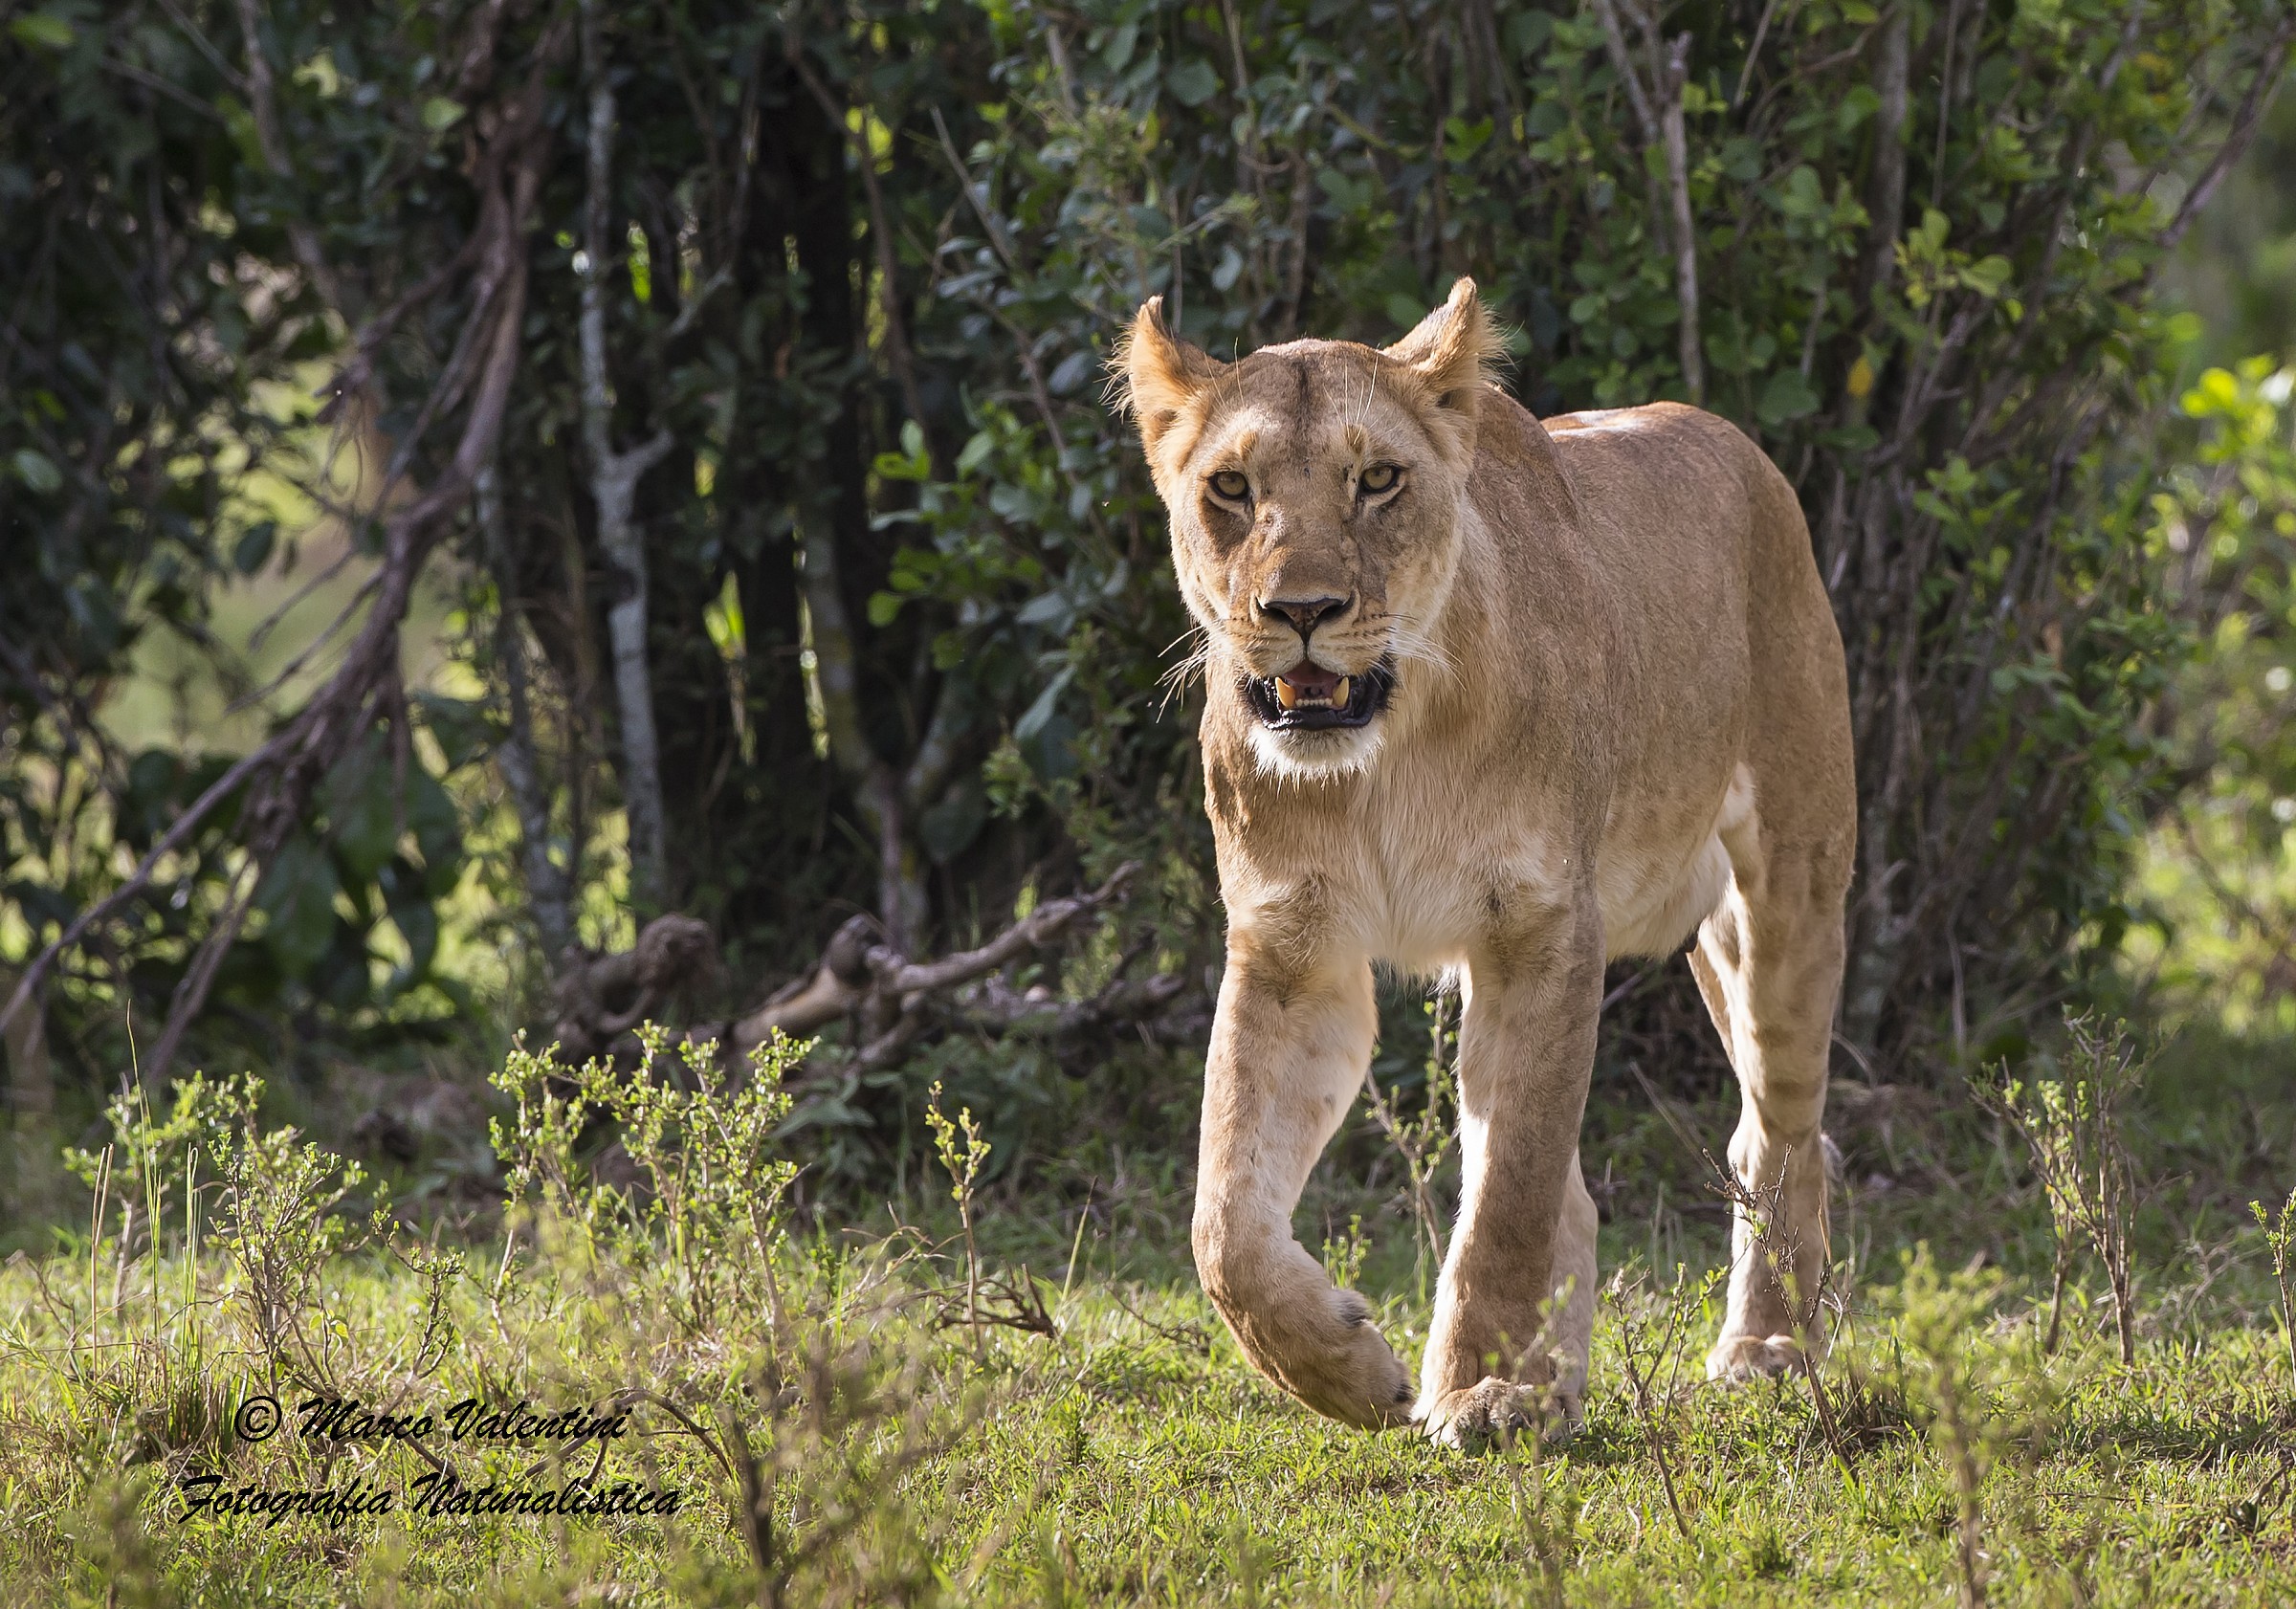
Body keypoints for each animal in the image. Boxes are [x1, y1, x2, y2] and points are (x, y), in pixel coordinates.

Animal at [1115, 279, 1856, 1446]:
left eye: (1378, 479)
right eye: (1231, 487)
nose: (1301, 612)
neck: (1383, 758)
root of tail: (1737, 444)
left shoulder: (1543, 929)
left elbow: (1508, 1193)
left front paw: (1486, 1389)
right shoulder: (1293, 951)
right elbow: (1224, 1217)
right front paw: (1351, 1371)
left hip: (1785, 892)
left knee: (1781, 1132)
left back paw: (1770, 1349)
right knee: (1604, 1182)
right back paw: (1569, 1378)